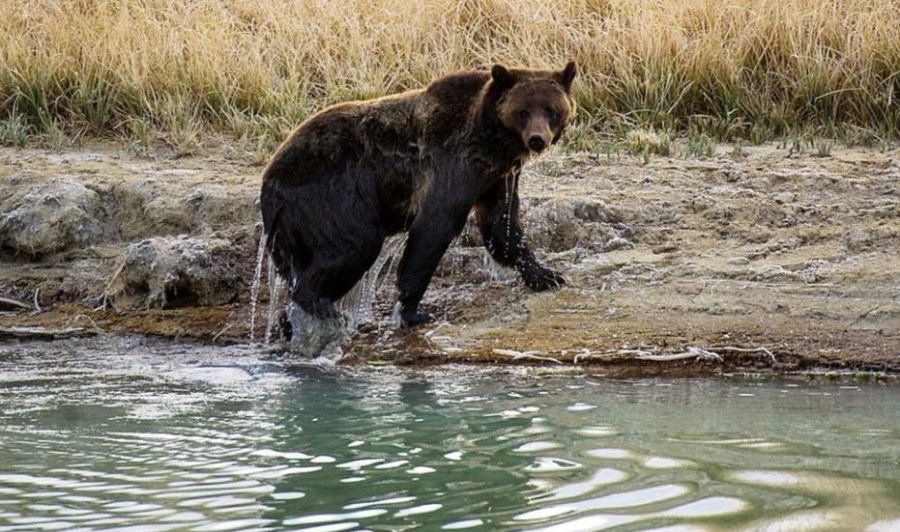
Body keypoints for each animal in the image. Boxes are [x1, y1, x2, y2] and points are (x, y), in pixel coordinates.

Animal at [260, 62, 576, 328]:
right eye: (523, 111)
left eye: (550, 109)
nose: (537, 139)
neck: (492, 143)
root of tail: (268, 183)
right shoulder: (451, 164)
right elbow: (435, 226)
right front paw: (412, 311)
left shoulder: (497, 178)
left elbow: (501, 225)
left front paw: (546, 275)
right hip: (330, 195)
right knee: (355, 244)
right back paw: (324, 308)